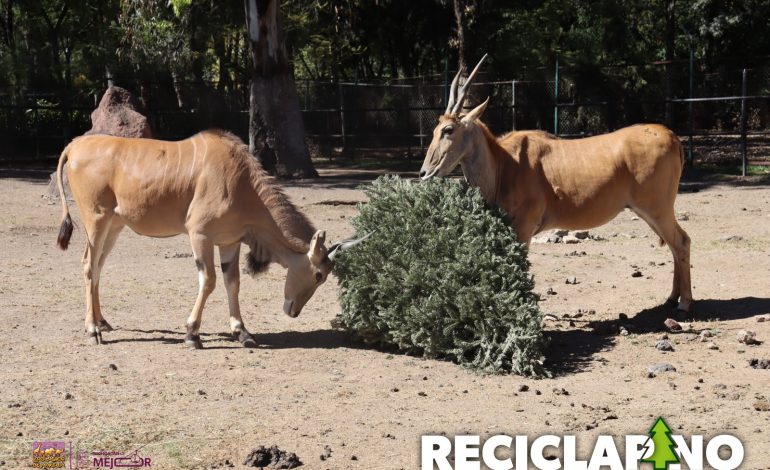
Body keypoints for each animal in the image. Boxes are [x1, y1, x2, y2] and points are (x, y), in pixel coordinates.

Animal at [54, 130, 366, 346]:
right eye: (318, 275)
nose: (294, 311)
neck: (242, 183)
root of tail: (74, 146)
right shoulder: (200, 235)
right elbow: (209, 281)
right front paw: (192, 334)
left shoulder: (229, 242)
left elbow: (232, 282)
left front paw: (242, 332)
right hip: (96, 220)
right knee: (88, 265)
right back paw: (92, 330)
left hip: (114, 227)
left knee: (97, 268)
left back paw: (102, 322)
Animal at [420, 55, 688, 312]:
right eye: (434, 130)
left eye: (448, 130)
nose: (424, 172)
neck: (504, 164)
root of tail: (672, 136)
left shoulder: (524, 227)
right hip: (650, 212)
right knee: (676, 244)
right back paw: (671, 298)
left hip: (657, 210)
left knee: (681, 242)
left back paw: (684, 303)